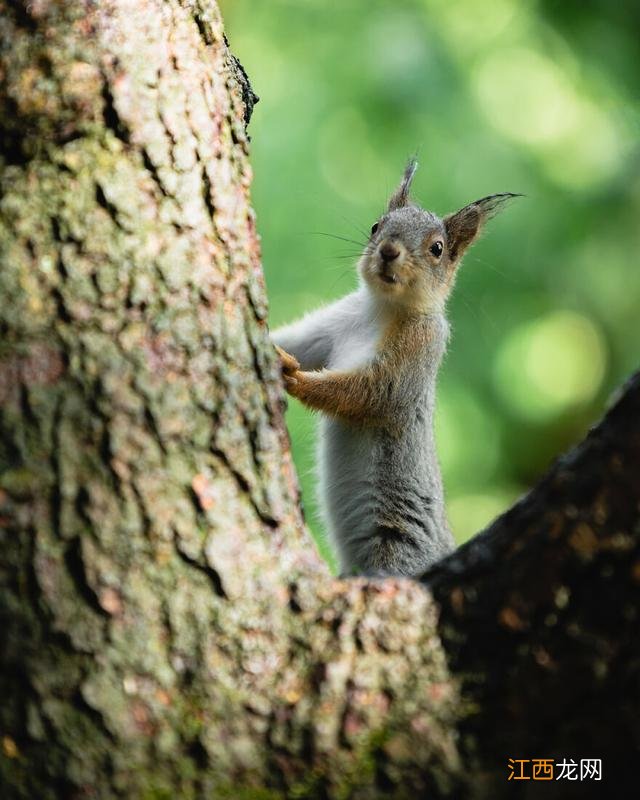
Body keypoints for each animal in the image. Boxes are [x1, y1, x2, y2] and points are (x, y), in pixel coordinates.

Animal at [272, 161, 516, 576]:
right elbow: (301, 343)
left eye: (437, 249)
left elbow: (369, 393)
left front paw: (292, 374)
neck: (379, 309)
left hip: (397, 551)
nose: (388, 251)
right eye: (376, 226)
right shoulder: (332, 326)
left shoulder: (418, 350)